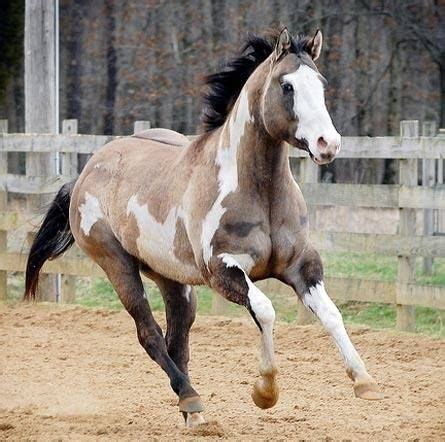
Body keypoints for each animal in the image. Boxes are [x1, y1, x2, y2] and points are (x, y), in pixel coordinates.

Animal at [24, 28, 382, 428]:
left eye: (321, 84)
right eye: (286, 85)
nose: (327, 143)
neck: (260, 192)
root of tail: (87, 171)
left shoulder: (301, 266)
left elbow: (331, 314)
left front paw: (365, 382)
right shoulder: (223, 272)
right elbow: (266, 311)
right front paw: (265, 392)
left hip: (173, 280)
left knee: (176, 341)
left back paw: (192, 415)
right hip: (118, 266)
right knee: (150, 335)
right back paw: (191, 398)